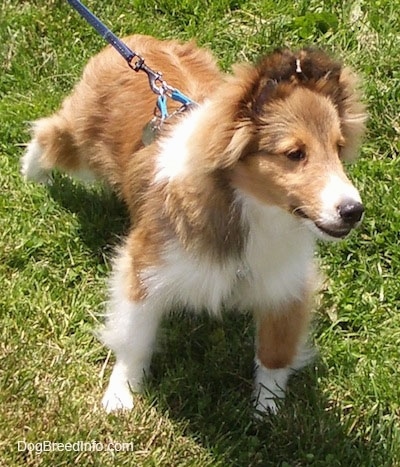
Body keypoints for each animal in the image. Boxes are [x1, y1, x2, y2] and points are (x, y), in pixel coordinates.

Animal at [21, 36, 366, 416]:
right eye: (294, 154)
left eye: (338, 148)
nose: (354, 211)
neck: (245, 206)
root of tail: (136, 42)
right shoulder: (145, 266)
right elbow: (134, 338)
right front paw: (121, 395)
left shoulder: (284, 283)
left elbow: (275, 352)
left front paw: (267, 409)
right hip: (82, 137)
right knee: (49, 133)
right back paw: (32, 174)